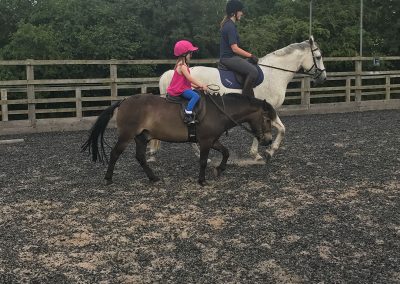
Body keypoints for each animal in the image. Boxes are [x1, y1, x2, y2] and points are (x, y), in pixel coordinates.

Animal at [80, 93, 276, 185]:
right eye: (267, 119)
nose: (268, 140)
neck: (219, 111)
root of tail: (124, 101)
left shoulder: (212, 140)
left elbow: (226, 152)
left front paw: (219, 169)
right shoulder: (205, 141)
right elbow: (203, 161)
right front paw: (202, 180)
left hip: (141, 137)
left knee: (140, 157)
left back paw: (153, 177)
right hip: (127, 135)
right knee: (115, 153)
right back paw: (108, 178)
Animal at [148, 36, 326, 160]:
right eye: (318, 57)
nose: (323, 77)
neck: (274, 73)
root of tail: (173, 73)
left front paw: (258, 153)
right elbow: (281, 129)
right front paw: (267, 152)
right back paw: (201, 155)